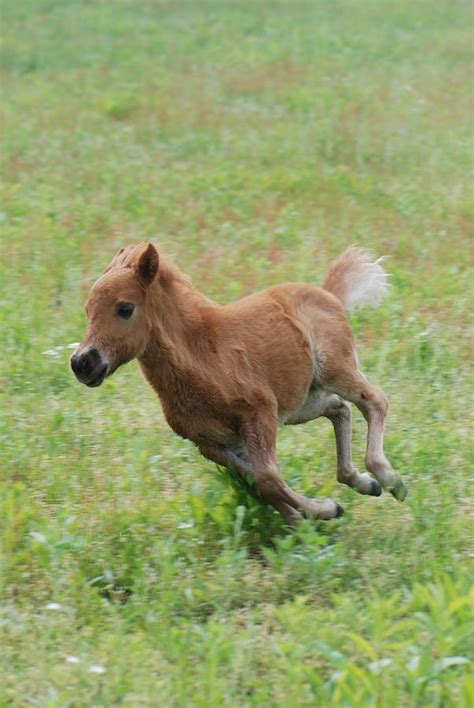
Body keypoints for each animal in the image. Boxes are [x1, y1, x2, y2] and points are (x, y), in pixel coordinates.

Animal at [71, 243, 408, 524]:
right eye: (87, 310)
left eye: (125, 308)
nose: (82, 363)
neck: (204, 354)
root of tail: (330, 294)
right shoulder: (211, 443)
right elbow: (257, 483)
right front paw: (306, 519)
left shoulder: (258, 413)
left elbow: (268, 479)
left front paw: (326, 509)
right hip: (300, 403)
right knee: (339, 408)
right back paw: (363, 482)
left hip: (334, 369)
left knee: (374, 400)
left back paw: (389, 479)